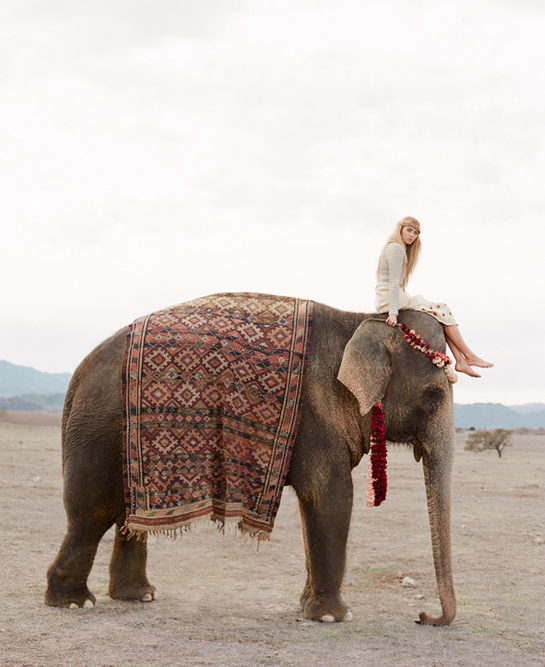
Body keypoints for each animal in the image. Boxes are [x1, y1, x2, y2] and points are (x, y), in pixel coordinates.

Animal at [45, 298, 456, 626]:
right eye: (434, 395)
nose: (423, 617)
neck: (362, 318)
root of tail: (77, 373)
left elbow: (315, 505)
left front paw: (307, 606)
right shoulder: (318, 414)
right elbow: (330, 494)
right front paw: (332, 617)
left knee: (124, 513)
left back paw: (138, 596)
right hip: (98, 429)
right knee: (92, 512)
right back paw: (73, 603)